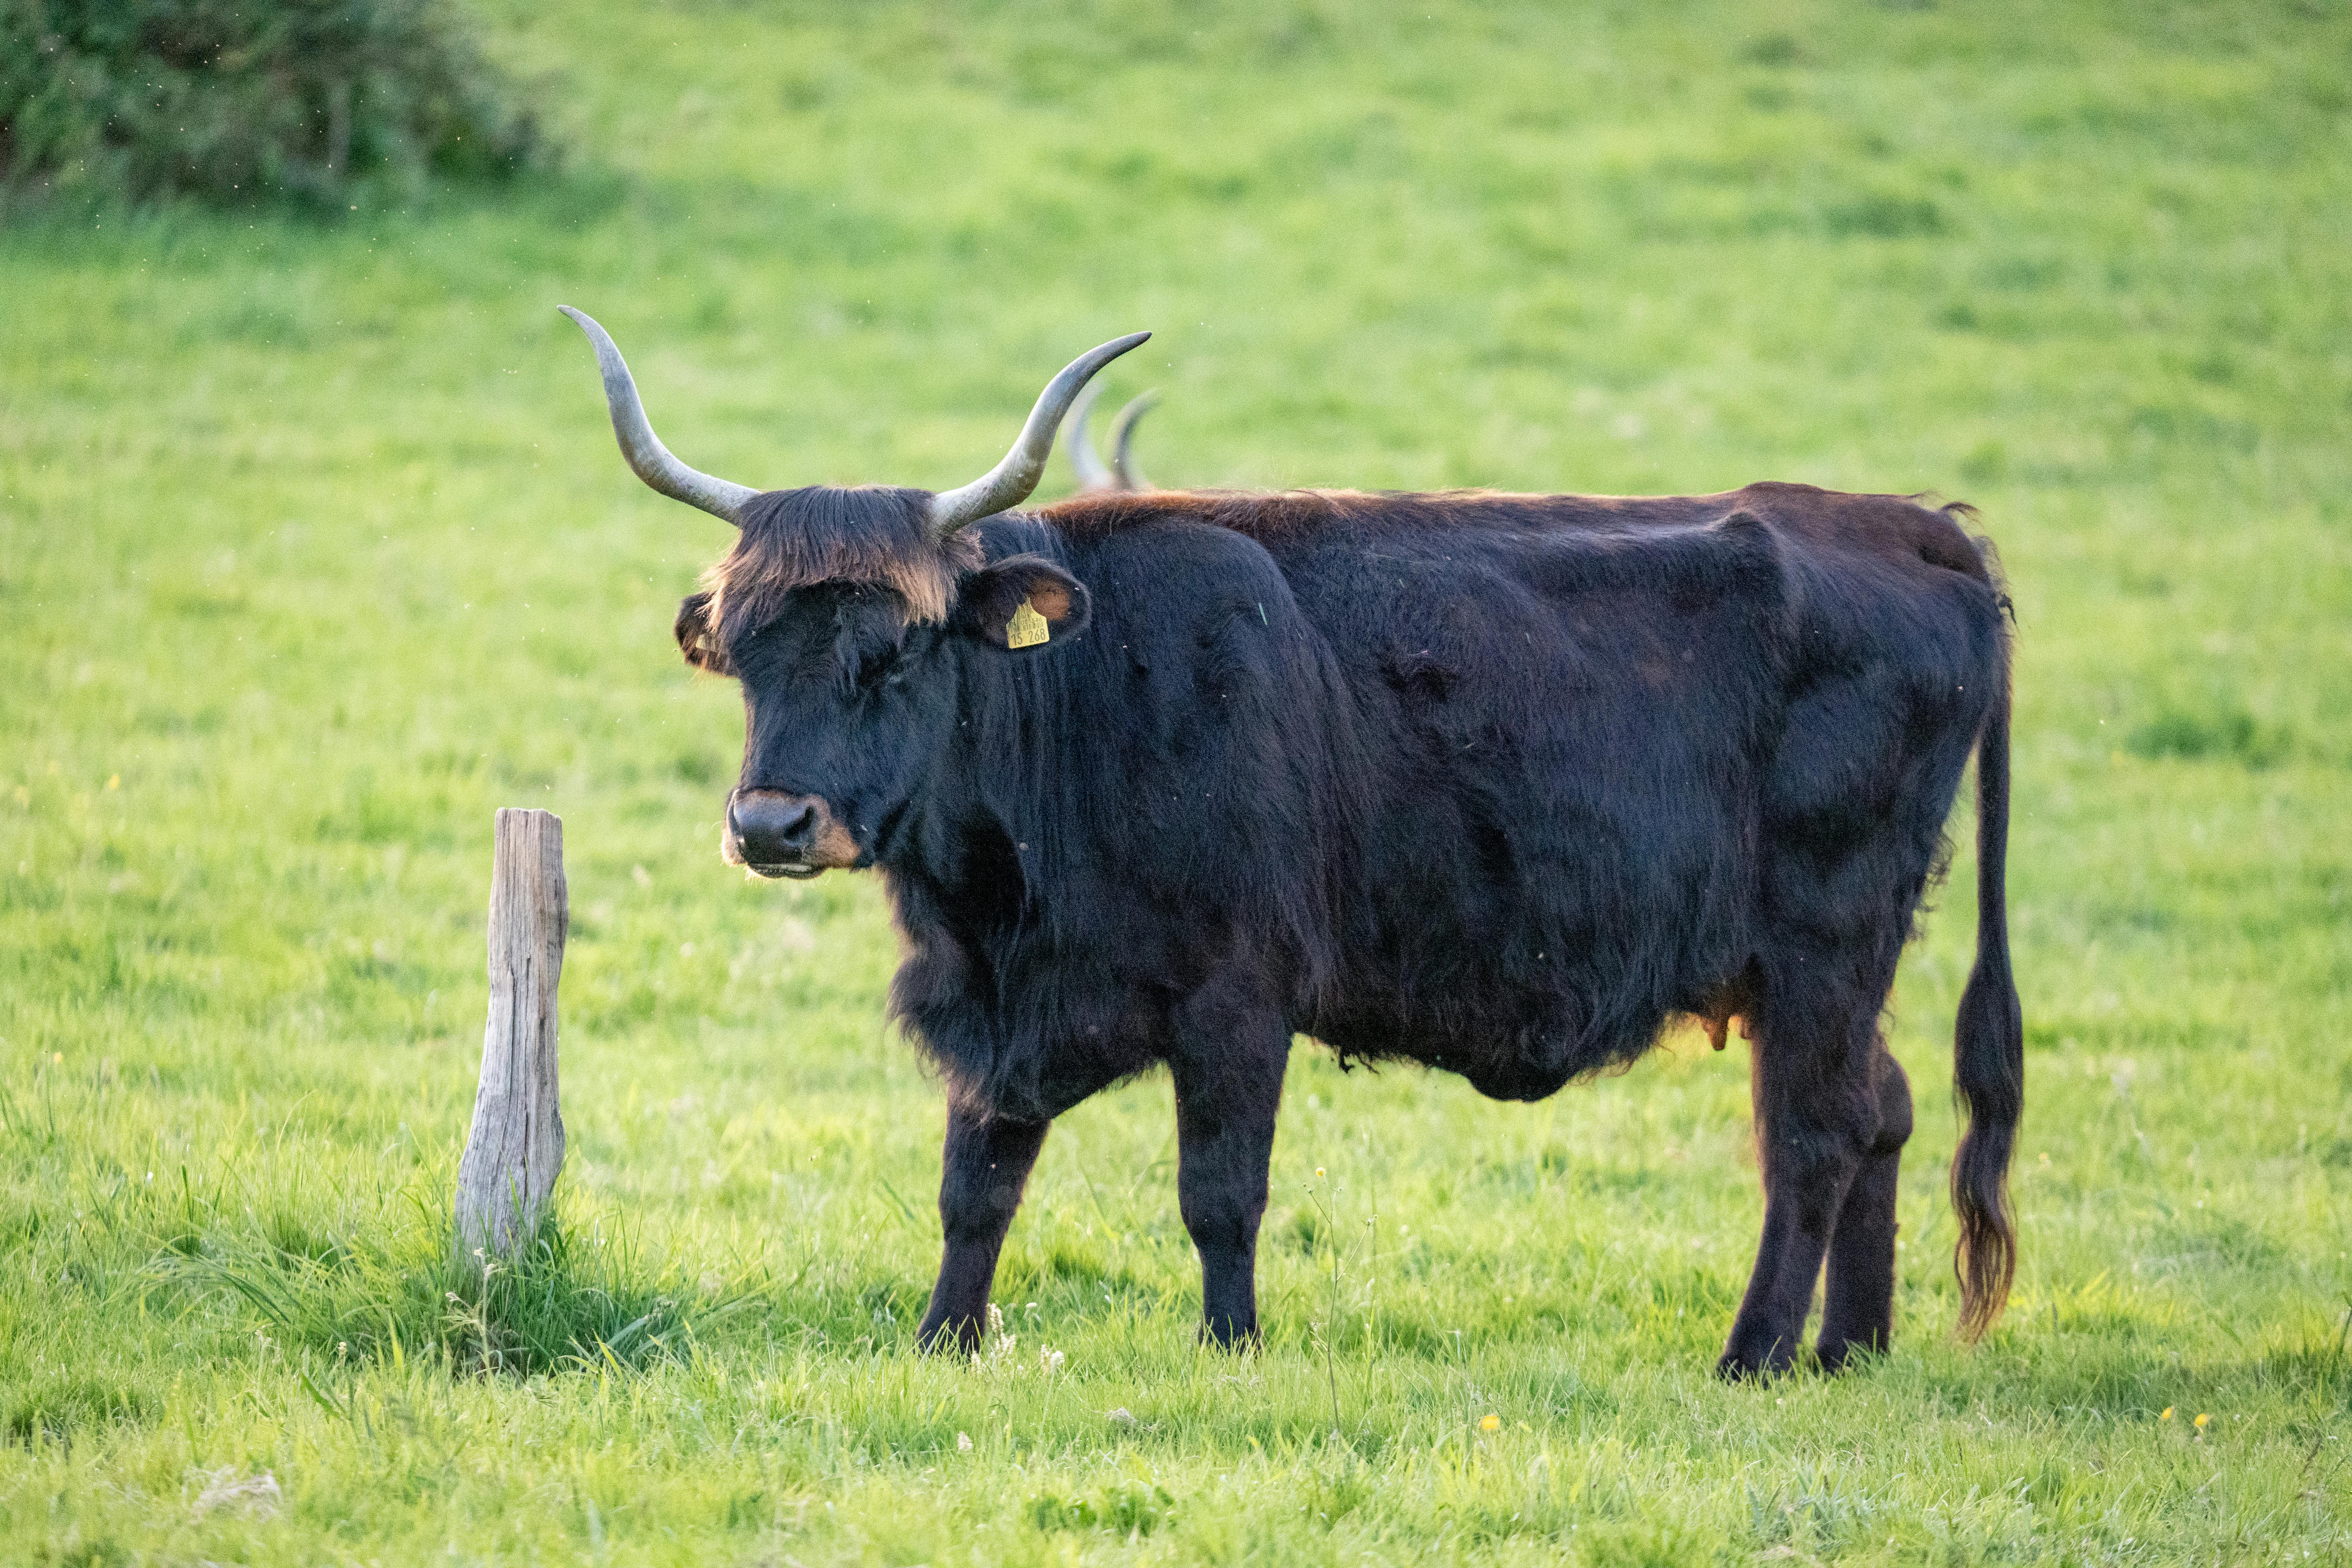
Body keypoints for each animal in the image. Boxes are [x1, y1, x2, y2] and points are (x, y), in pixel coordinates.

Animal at [558, 308, 2024, 1377]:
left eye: (900, 647)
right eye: (749, 648)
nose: (771, 823)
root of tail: (1911, 525)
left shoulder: (1236, 995)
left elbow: (1219, 1189)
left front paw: (1230, 1344)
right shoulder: (1003, 1010)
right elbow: (976, 1183)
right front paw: (943, 1340)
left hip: (1826, 941)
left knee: (1817, 1134)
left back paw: (1756, 1354)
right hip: (1822, 970)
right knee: (1884, 1108)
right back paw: (1847, 1351)